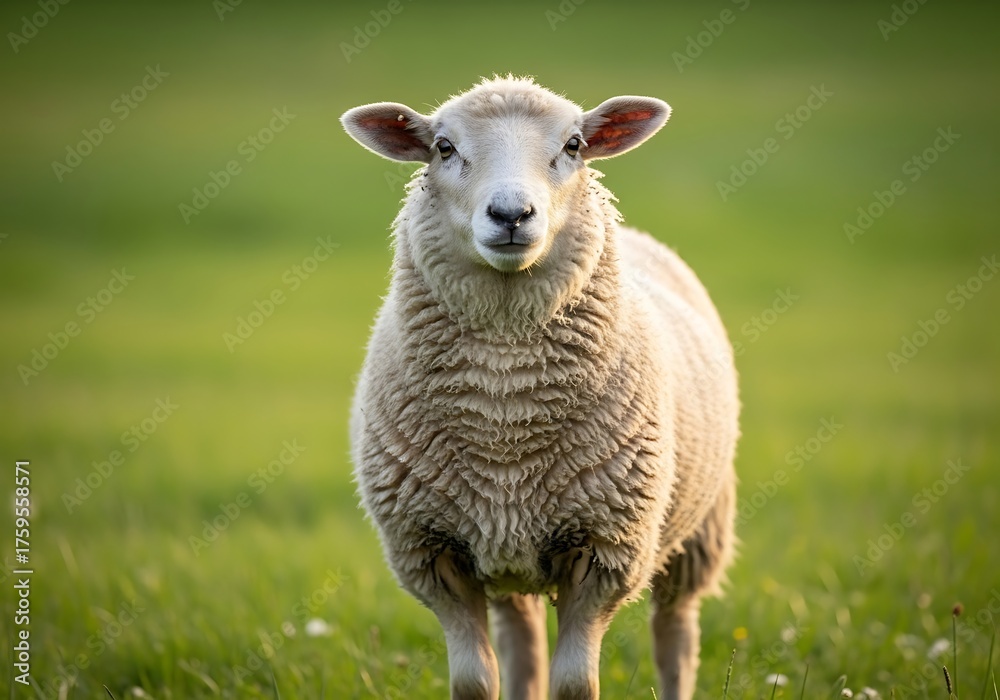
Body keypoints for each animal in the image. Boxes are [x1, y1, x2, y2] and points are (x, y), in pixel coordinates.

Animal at [342, 76, 739, 700]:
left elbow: (575, 685)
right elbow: (475, 684)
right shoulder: (431, 554)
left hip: (698, 530)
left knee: (676, 635)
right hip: (504, 552)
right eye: (443, 148)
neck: (505, 412)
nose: (511, 213)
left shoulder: (607, 551)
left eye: (574, 145)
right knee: (522, 642)